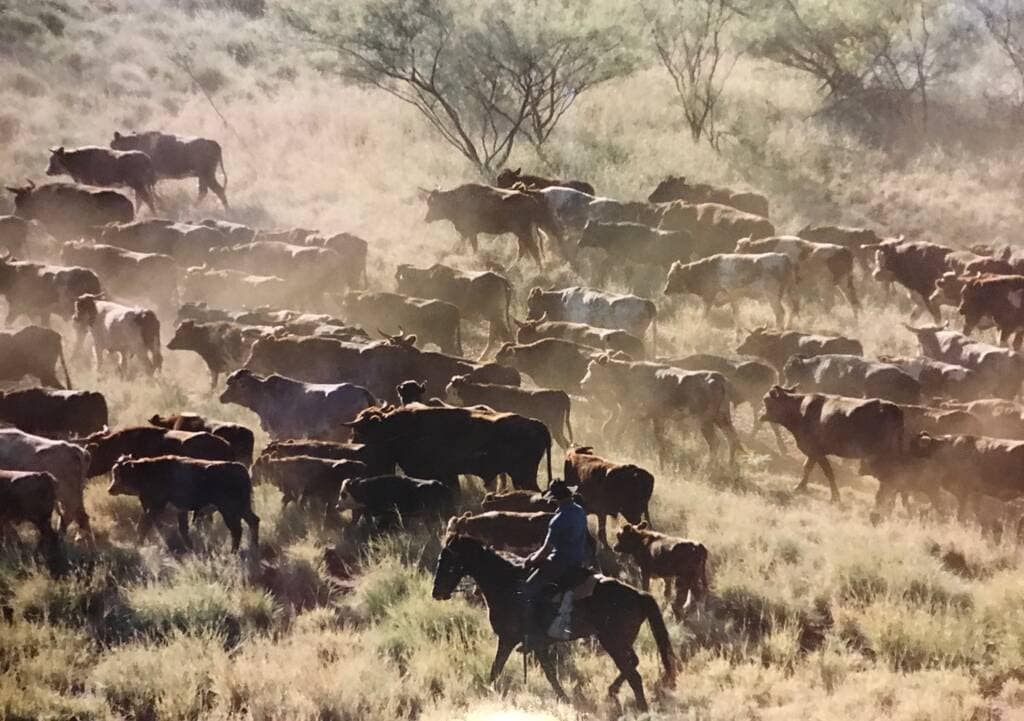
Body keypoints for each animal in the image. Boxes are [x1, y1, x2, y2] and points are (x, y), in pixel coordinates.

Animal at [107, 456, 258, 553]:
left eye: (120, 474)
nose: (110, 489)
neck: (146, 472)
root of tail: (240, 468)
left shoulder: (156, 507)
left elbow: (145, 526)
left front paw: (138, 545)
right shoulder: (180, 510)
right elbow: (182, 530)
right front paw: (190, 547)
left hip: (228, 510)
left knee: (237, 529)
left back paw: (234, 552)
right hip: (243, 508)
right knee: (253, 521)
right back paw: (253, 547)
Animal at [430, 532, 675, 712]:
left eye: (447, 559)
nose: (437, 592)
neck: (506, 583)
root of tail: (639, 595)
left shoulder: (509, 639)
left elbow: (497, 670)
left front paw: (489, 693)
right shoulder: (537, 645)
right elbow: (548, 674)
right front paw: (564, 698)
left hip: (612, 641)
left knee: (633, 673)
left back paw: (640, 707)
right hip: (620, 641)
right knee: (632, 664)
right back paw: (613, 691)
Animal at [663, 248, 798, 325]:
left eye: (671, 277)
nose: (665, 291)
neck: (707, 269)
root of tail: (784, 257)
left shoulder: (713, 295)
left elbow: (706, 313)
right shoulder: (730, 296)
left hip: (772, 296)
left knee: (780, 313)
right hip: (787, 294)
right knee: (791, 310)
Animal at [761, 389, 905, 501]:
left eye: (766, 400)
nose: (760, 415)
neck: (800, 409)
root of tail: (894, 408)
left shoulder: (816, 451)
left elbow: (828, 472)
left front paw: (835, 497)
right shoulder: (813, 452)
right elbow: (807, 467)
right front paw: (800, 487)